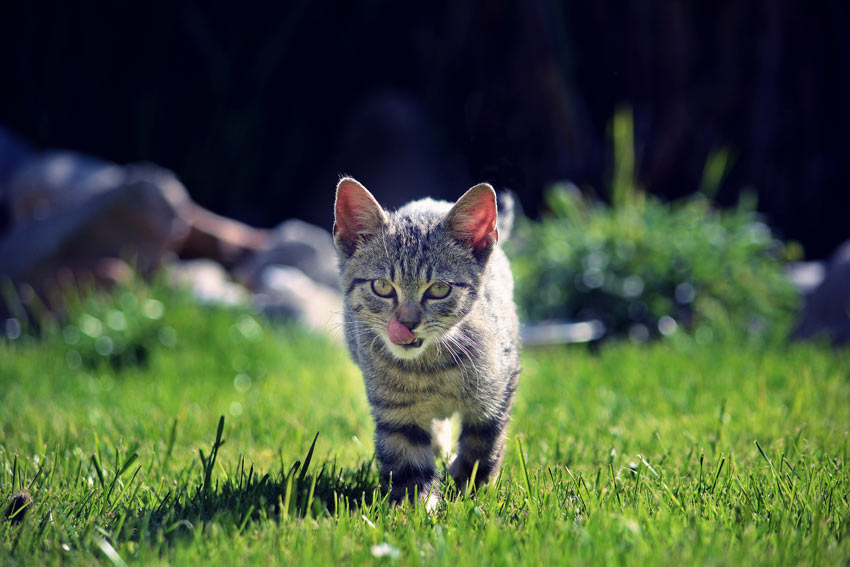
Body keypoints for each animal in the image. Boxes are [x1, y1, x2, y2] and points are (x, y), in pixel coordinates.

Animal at [332, 178, 520, 506]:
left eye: (439, 289)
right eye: (382, 287)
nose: (406, 324)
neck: (430, 367)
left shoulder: (499, 388)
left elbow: (484, 442)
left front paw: (469, 488)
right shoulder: (396, 410)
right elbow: (406, 457)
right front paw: (415, 506)